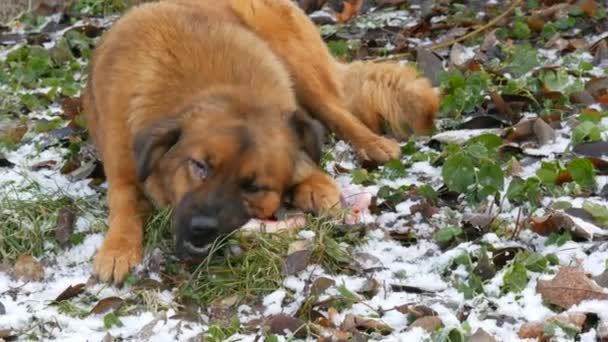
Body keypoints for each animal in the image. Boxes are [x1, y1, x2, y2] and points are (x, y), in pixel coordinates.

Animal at [83, 0, 440, 284]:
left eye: (253, 187)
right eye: (199, 166)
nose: (201, 228)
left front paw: (314, 185)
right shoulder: (123, 169)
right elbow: (126, 205)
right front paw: (118, 248)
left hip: (298, 63)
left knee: (338, 112)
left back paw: (373, 143)